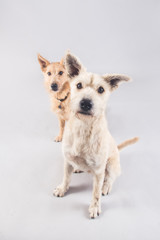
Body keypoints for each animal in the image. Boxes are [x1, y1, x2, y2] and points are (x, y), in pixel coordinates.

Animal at [53, 53, 139, 218]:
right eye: (78, 85)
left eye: (101, 89)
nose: (86, 103)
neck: (83, 127)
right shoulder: (67, 160)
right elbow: (66, 177)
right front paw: (62, 188)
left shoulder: (99, 171)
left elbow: (96, 192)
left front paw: (94, 207)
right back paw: (78, 168)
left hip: (111, 165)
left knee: (110, 178)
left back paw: (106, 187)